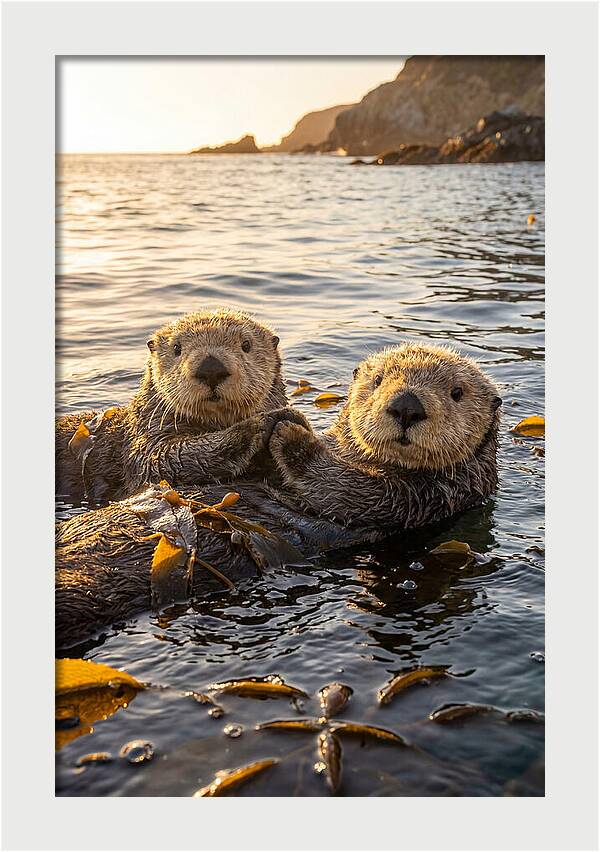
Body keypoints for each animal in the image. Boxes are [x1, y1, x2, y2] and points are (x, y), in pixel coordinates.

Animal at [56, 308, 305, 503]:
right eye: (177, 348)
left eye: (246, 345)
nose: (211, 368)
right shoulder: (146, 439)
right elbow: (163, 459)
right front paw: (262, 423)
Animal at [56, 343, 501, 649]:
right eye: (377, 382)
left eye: (457, 393)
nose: (406, 406)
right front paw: (273, 421)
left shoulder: (421, 498)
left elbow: (344, 487)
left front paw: (290, 431)